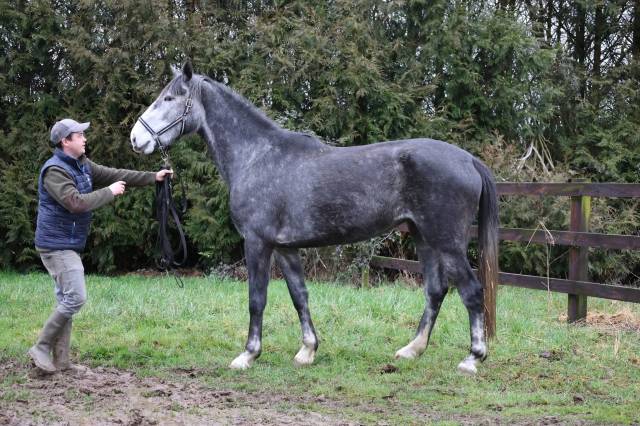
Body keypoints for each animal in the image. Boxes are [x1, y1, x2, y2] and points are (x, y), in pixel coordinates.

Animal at [130, 61, 499, 375]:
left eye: (169, 98)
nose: (136, 137)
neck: (257, 156)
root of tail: (468, 160)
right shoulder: (285, 247)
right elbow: (299, 295)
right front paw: (307, 350)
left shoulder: (257, 243)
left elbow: (257, 298)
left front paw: (248, 355)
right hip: (424, 238)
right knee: (436, 290)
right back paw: (411, 350)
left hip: (446, 242)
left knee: (470, 290)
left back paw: (472, 358)